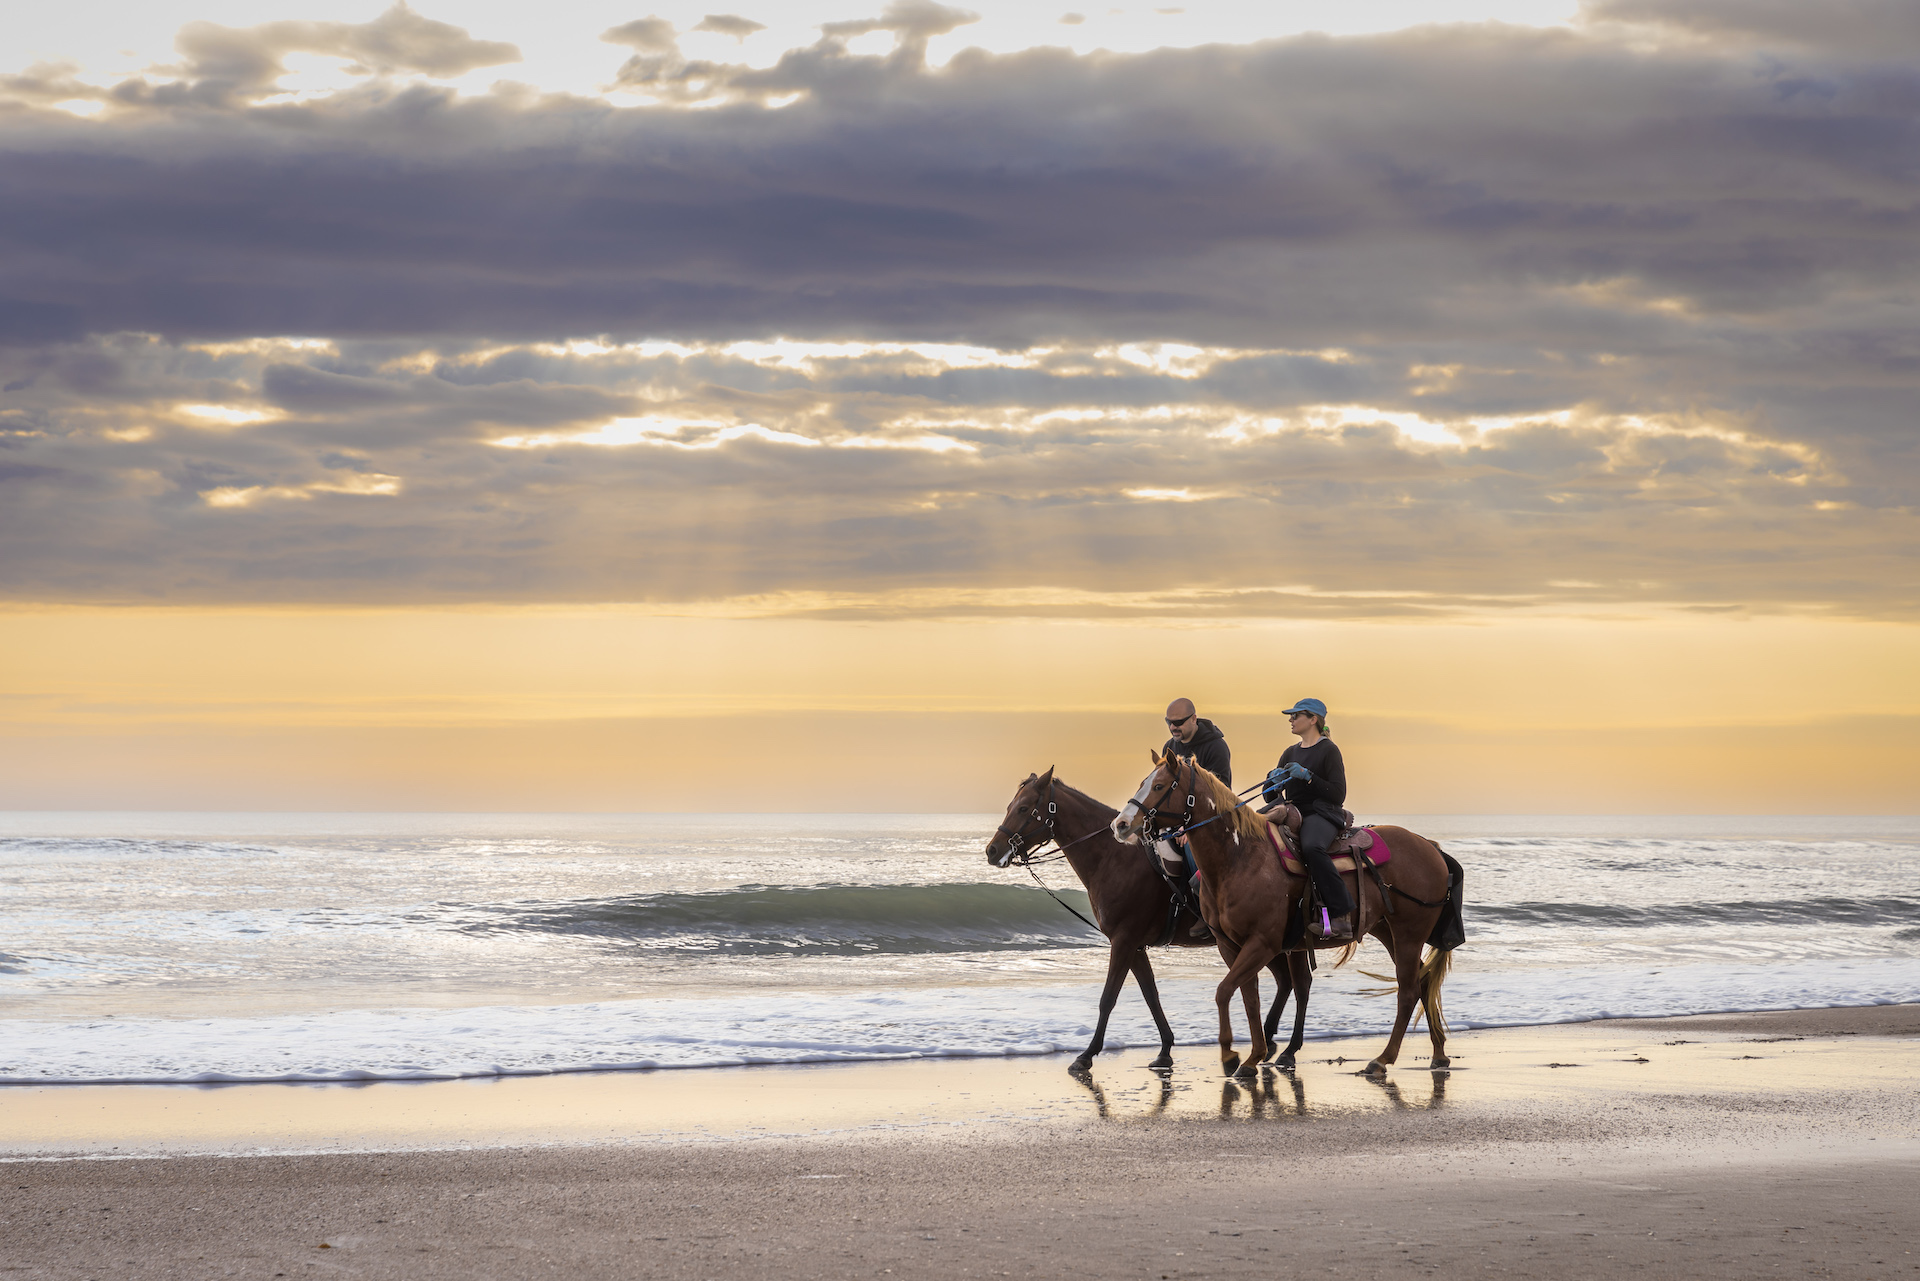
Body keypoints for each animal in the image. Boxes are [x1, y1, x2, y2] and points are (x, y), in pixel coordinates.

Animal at [986, 768, 1314, 1072]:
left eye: (1024, 808)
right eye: (1011, 806)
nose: (992, 850)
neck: (1113, 857)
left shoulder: (1124, 941)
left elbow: (1108, 997)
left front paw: (1087, 1055)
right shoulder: (1134, 945)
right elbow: (1150, 994)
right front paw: (1165, 1049)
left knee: (1298, 984)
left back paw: (1285, 1048)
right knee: (1287, 982)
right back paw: (1271, 1040)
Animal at [1110, 751, 1461, 1079]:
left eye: (1159, 786)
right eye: (1143, 783)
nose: (1121, 825)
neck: (1239, 857)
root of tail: (1431, 847)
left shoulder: (1262, 944)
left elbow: (1224, 991)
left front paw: (1232, 1056)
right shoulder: (1230, 945)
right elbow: (1247, 997)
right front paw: (1250, 1057)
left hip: (1408, 933)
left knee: (1408, 991)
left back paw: (1382, 1059)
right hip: (1388, 931)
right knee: (1423, 981)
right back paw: (1439, 1054)